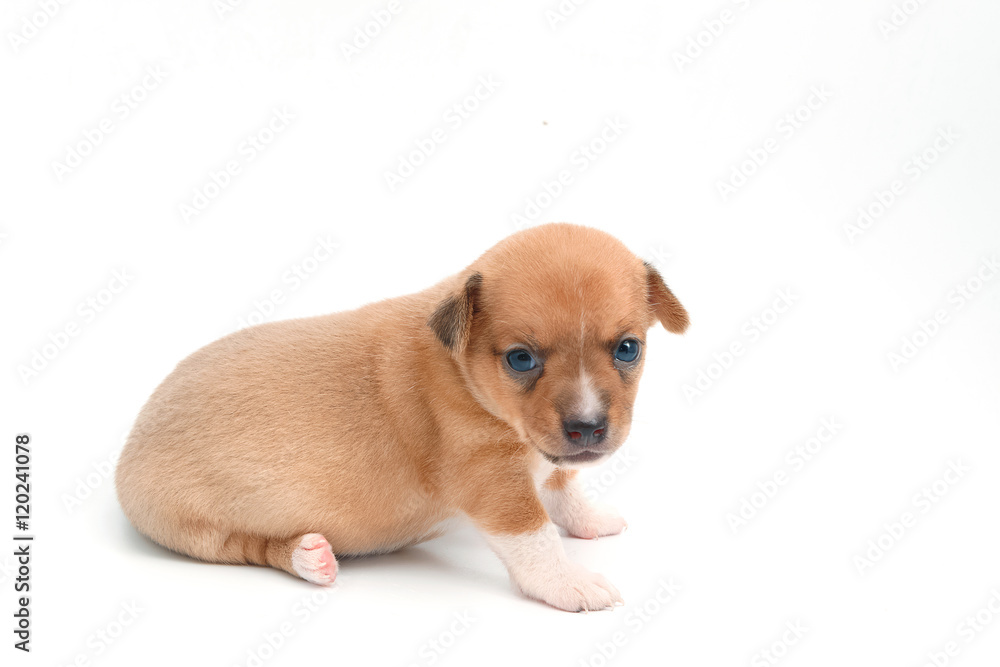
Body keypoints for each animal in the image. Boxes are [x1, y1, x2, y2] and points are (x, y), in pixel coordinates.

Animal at [115, 223, 688, 612]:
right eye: (521, 359)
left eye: (629, 349)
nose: (588, 429)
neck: (462, 370)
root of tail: (132, 442)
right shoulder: (492, 481)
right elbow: (534, 534)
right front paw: (568, 581)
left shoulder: (546, 460)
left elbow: (564, 488)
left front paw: (590, 521)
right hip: (196, 529)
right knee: (248, 547)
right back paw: (307, 558)